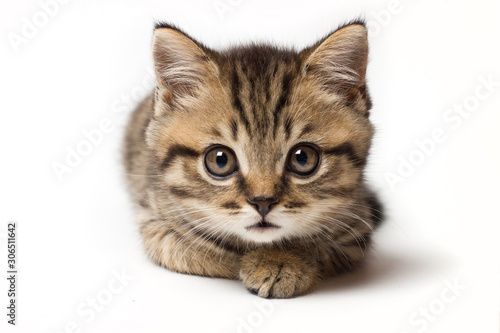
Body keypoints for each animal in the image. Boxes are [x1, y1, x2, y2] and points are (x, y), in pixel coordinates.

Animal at [123, 19, 380, 296]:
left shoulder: (358, 225)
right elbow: (207, 252)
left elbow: (324, 243)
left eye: (303, 159)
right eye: (220, 160)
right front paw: (261, 259)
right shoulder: (155, 219)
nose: (263, 202)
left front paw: (282, 259)